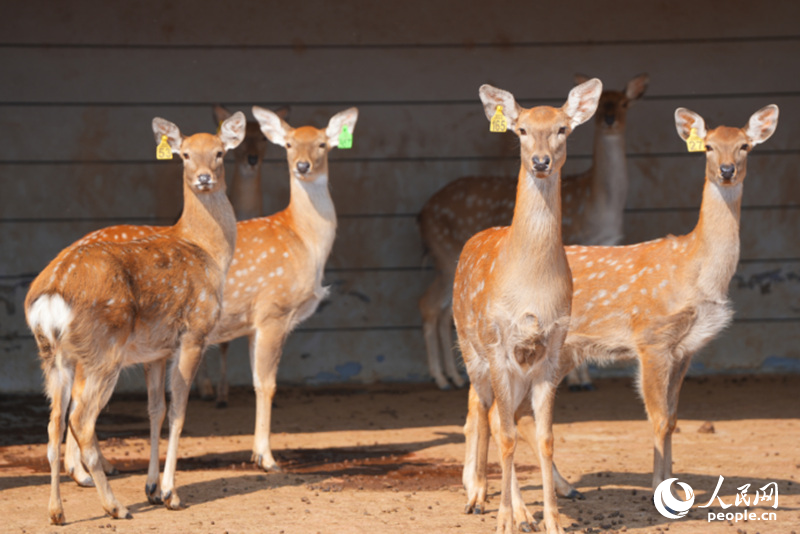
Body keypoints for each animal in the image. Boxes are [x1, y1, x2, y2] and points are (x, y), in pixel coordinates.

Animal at [25, 113, 245, 524]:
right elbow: (179, 411)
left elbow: (156, 411)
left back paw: (57, 511)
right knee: (80, 419)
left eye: (220, 153)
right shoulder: (195, 332)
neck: (207, 251)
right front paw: (171, 493)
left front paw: (153, 488)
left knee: (53, 422)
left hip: (54, 356)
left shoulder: (154, 352)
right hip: (102, 350)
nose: (204, 178)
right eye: (185, 154)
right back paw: (115, 506)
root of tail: (50, 295)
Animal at [419, 74, 649, 391]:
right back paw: (443, 378)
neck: (600, 208)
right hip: (445, 253)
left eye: (562, 128)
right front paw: (577, 380)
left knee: (439, 309)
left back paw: (451, 376)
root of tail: (422, 212)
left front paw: (582, 377)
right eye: (522, 130)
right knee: (431, 306)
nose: (610, 119)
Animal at [453, 79, 603, 534]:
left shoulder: (551, 349)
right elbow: (505, 434)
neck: (532, 286)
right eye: (520, 130)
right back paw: (482, 496)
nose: (540, 161)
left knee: (491, 413)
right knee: (482, 411)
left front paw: (553, 520)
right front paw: (506, 517)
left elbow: (545, 436)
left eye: (562, 129)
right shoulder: (499, 345)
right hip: (470, 344)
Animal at [462, 104, 780, 526]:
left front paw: (675, 488)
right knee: (497, 412)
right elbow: (658, 418)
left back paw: (512, 491)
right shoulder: (652, 338)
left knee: (496, 409)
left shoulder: (685, 350)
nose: (727, 170)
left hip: (553, 354)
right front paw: (660, 493)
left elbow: (673, 419)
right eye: (709, 147)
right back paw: (502, 503)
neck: (695, 270)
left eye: (745, 146)